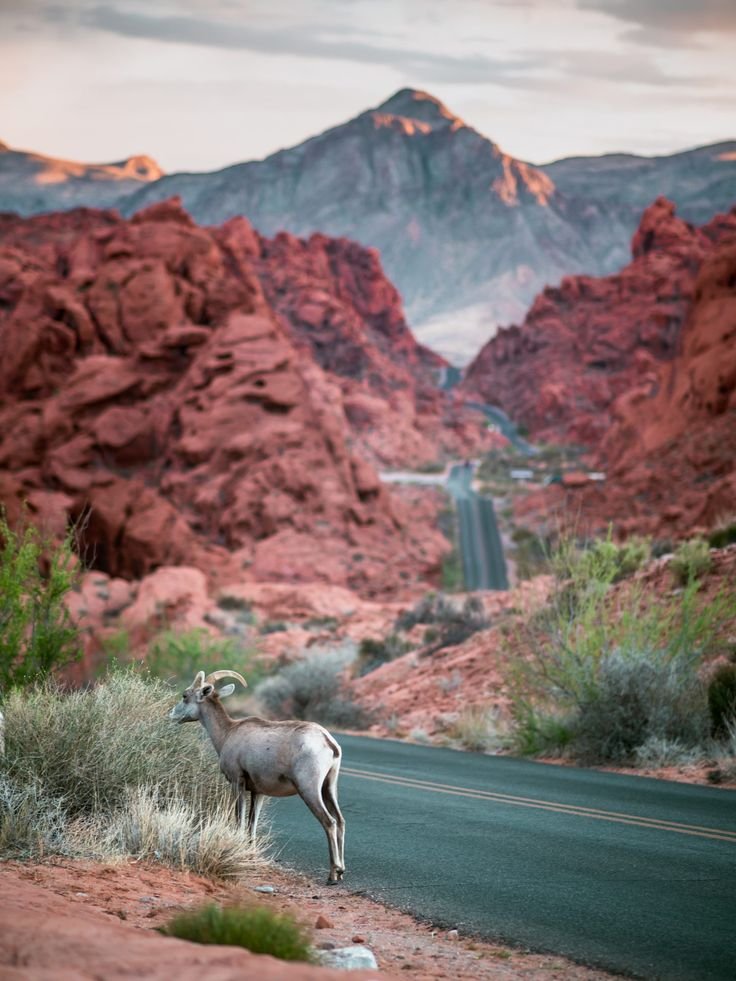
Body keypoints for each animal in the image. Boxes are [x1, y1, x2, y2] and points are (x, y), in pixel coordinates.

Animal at [169, 669, 345, 884]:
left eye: (185, 696)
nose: (172, 714)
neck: (227, 734)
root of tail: (328, 742)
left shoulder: (237, 783)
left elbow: (240, 820)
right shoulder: (258, 792)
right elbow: (251, 825)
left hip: (309, 790)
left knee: (329, 822)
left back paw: (333, 875)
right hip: (328, 787)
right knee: (341, 821)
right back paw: (341, 872)